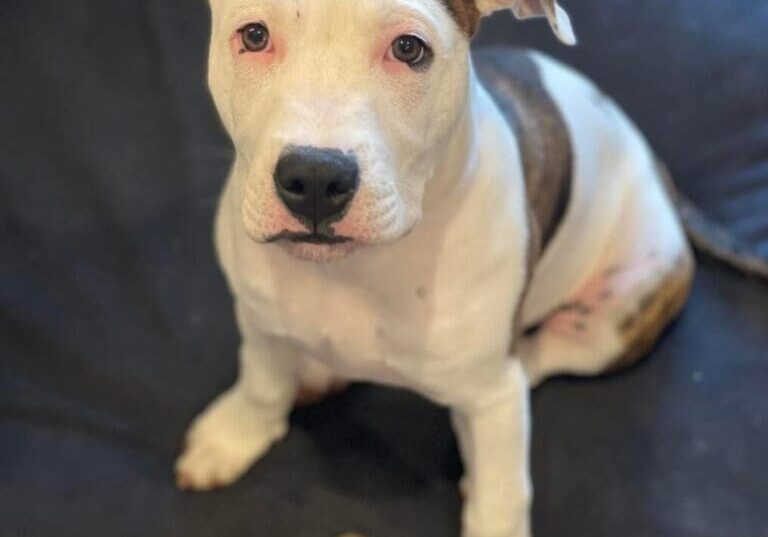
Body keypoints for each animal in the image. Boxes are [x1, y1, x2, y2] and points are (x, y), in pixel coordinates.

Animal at [176, 2, 696, 532]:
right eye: (254, 36)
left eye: (409, 48)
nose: (315, 177)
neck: (354, 270)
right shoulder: (258, 316)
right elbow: (261, 380)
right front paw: (235, 434)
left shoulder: (494, 396)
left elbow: (502, 495)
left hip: (620, 315)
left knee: (538, 359)